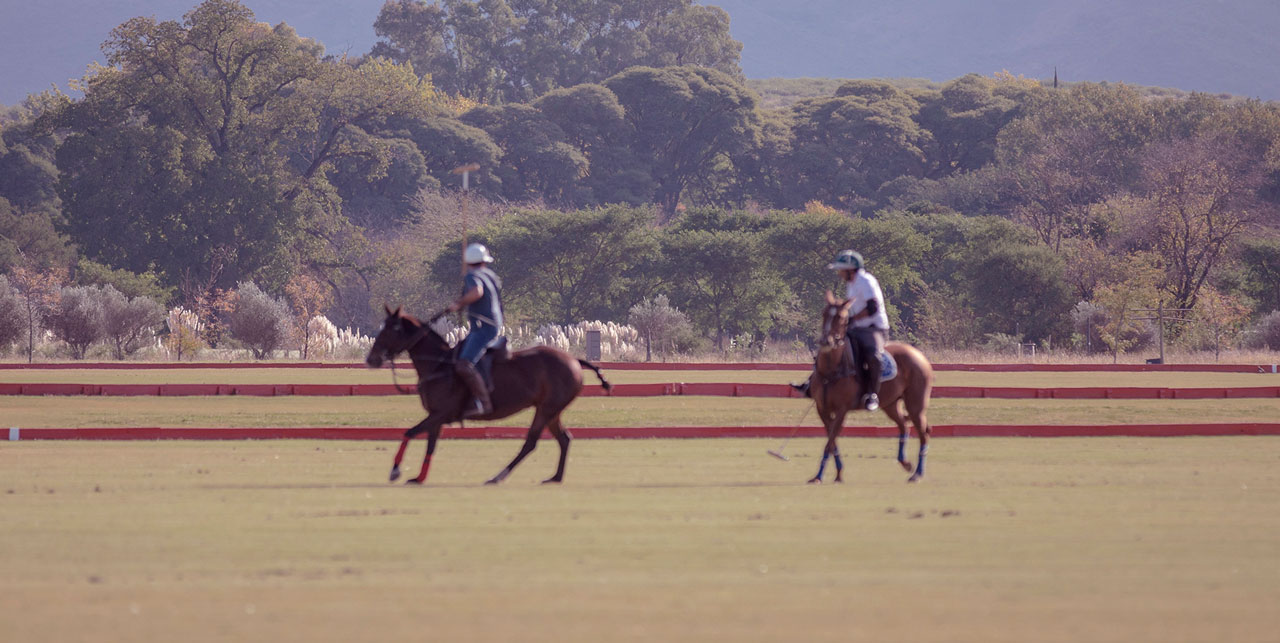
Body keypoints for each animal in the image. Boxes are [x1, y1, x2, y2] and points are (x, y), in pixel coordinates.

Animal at [363, 306, 611, 481]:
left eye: (391, 329)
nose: (371, 359)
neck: (438, 365)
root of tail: (575, 361)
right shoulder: (436, 417)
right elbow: (430, 444)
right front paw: (419, 477)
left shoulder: (440, 413)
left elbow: (409, 433)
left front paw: (395, 470)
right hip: (551, 410)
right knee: (563, 439)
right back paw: (555, 478)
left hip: (547, 408)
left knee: (531, 442)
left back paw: (498, 476)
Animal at [814, 290, 936, 481]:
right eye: (824, 313)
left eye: (841, 317)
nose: (827, 341)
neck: (830, 370)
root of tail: (920, 355)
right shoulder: (823, 410)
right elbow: (832, 442)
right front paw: (836, 474)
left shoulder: (842, 410)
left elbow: (830, 443)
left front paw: (820, 476)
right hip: (890, 404)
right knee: (904, 425)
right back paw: (905, 463)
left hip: (916, 405)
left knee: (924, 433)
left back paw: (917, 473)